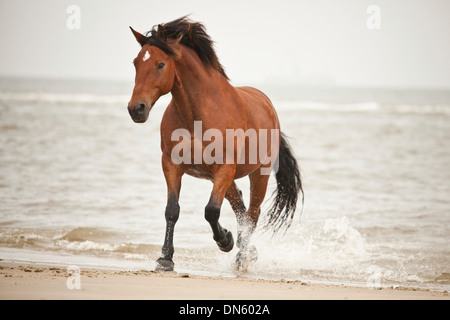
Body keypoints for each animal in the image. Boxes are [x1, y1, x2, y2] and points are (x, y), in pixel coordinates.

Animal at [126, 15, 302, 270]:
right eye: (136, 63)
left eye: (160, 64)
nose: (136, 109)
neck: (196, 117)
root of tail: (267, 105)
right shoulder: (171, 165)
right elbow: (172, 210)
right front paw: (165, 258)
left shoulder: (224, 168)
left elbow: (210, 211)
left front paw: (225, 241)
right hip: (223, 179)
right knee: (240, 209)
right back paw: (247, 250)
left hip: (258, 174)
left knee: (252, 213)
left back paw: (241, 256)